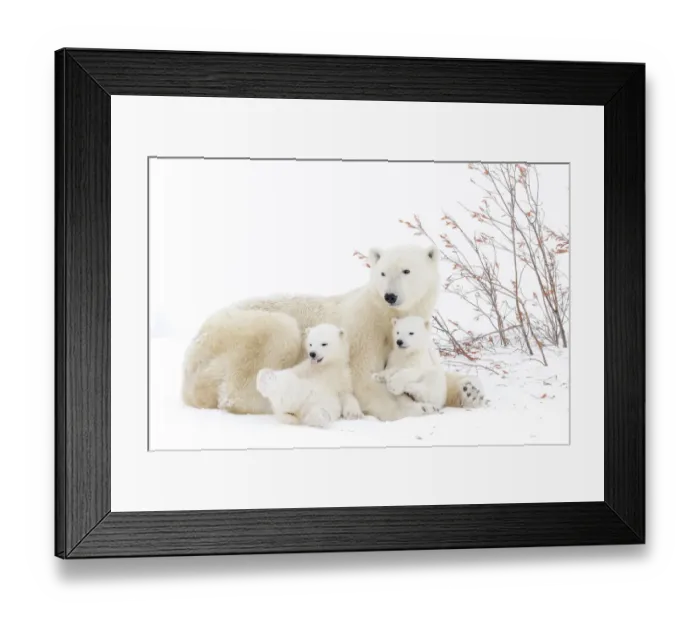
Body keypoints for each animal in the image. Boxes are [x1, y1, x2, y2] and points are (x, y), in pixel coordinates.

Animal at [182, 243, 484, 421]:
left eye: (406, 271)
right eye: (382, 272)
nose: (390, 296)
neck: (387, 317)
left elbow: (431, 370)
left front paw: (470, 391)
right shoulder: (364, 330)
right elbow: (364, 379)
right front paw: (417, 408)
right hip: (236, 332)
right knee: (275, 337)